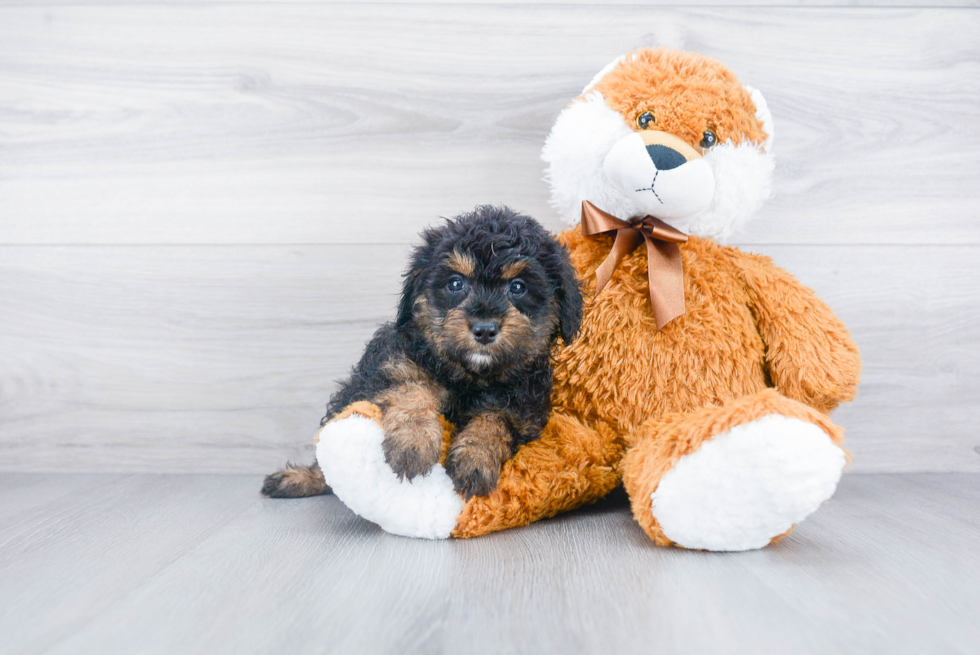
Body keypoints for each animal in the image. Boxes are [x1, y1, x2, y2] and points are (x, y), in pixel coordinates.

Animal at [260, 208, 580, 500]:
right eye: (455, 283)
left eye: (518, 287)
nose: (485, 329)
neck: (470, 377)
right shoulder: (392, 366)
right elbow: (412, 390)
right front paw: (413, 443)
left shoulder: (524, 409)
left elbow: (495, 419)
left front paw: (475, 458)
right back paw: (298, 479)